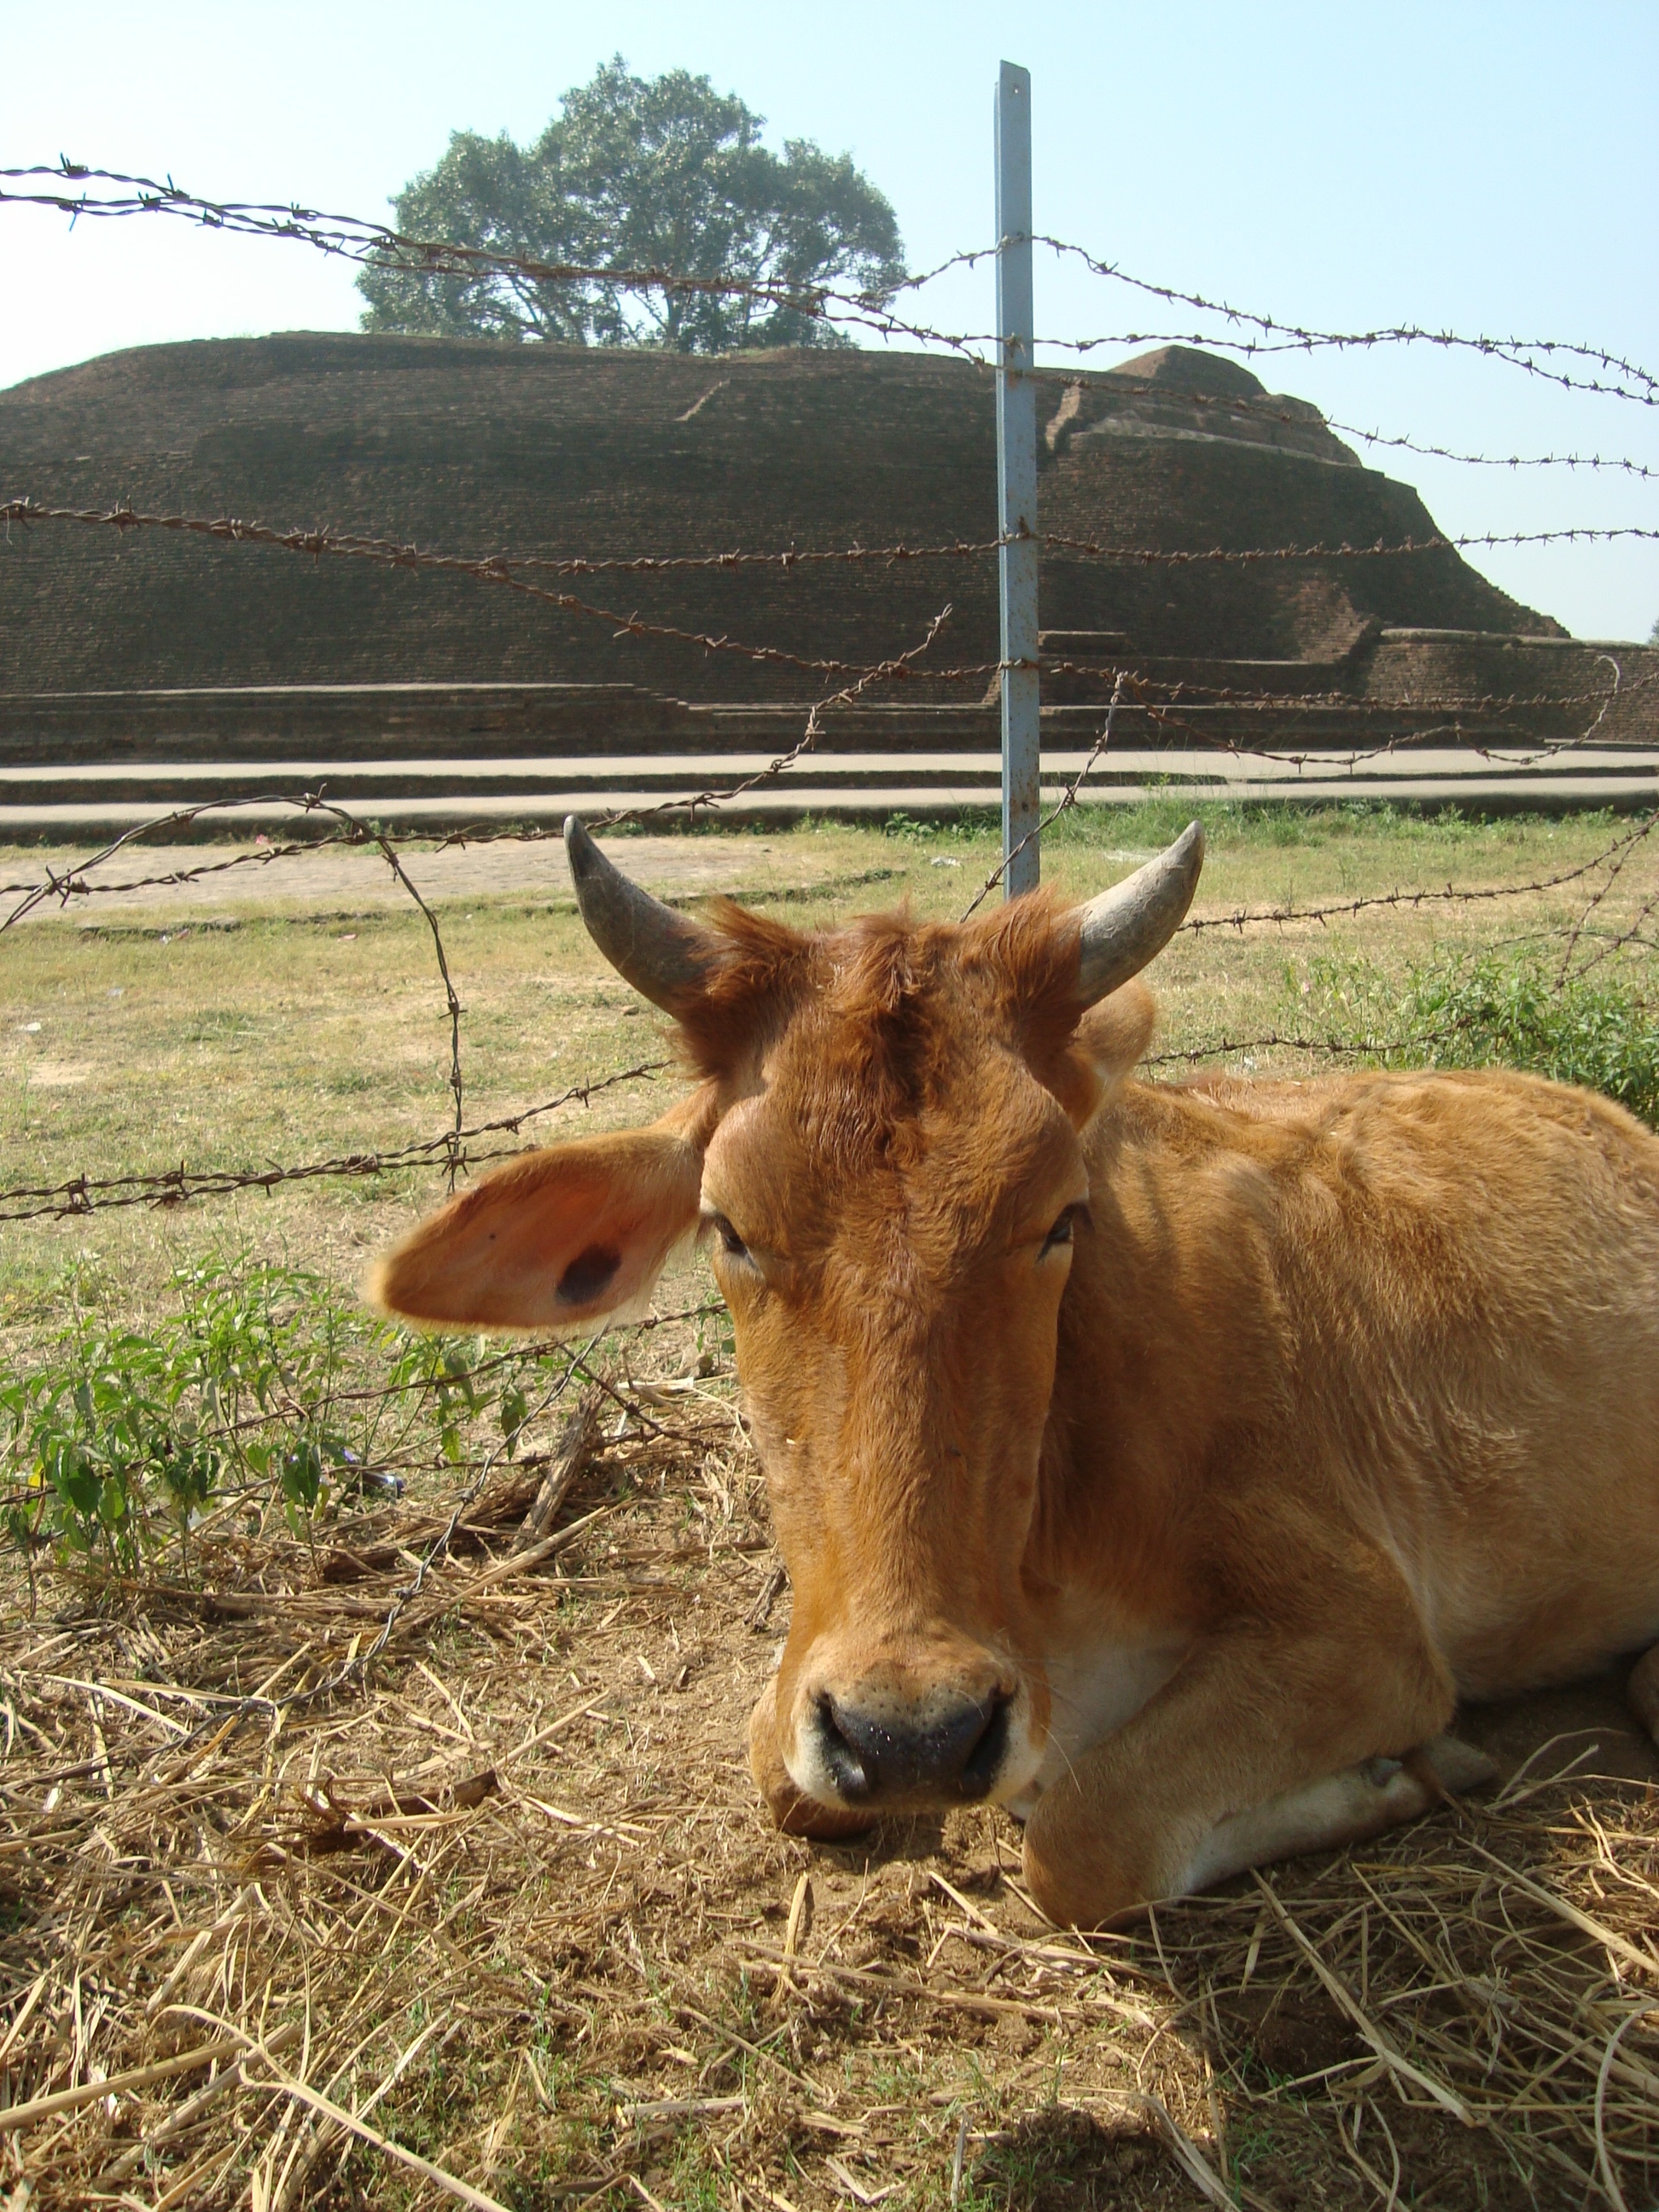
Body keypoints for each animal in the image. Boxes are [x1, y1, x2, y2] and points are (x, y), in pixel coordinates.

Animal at [370, 817, 1659, 1929]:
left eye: (1060, 1219)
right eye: (727, 1226)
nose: (913, 1738)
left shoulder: (1364, 1632)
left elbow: (1081, 1835)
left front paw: (1405, 1773)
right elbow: (781, 1773)